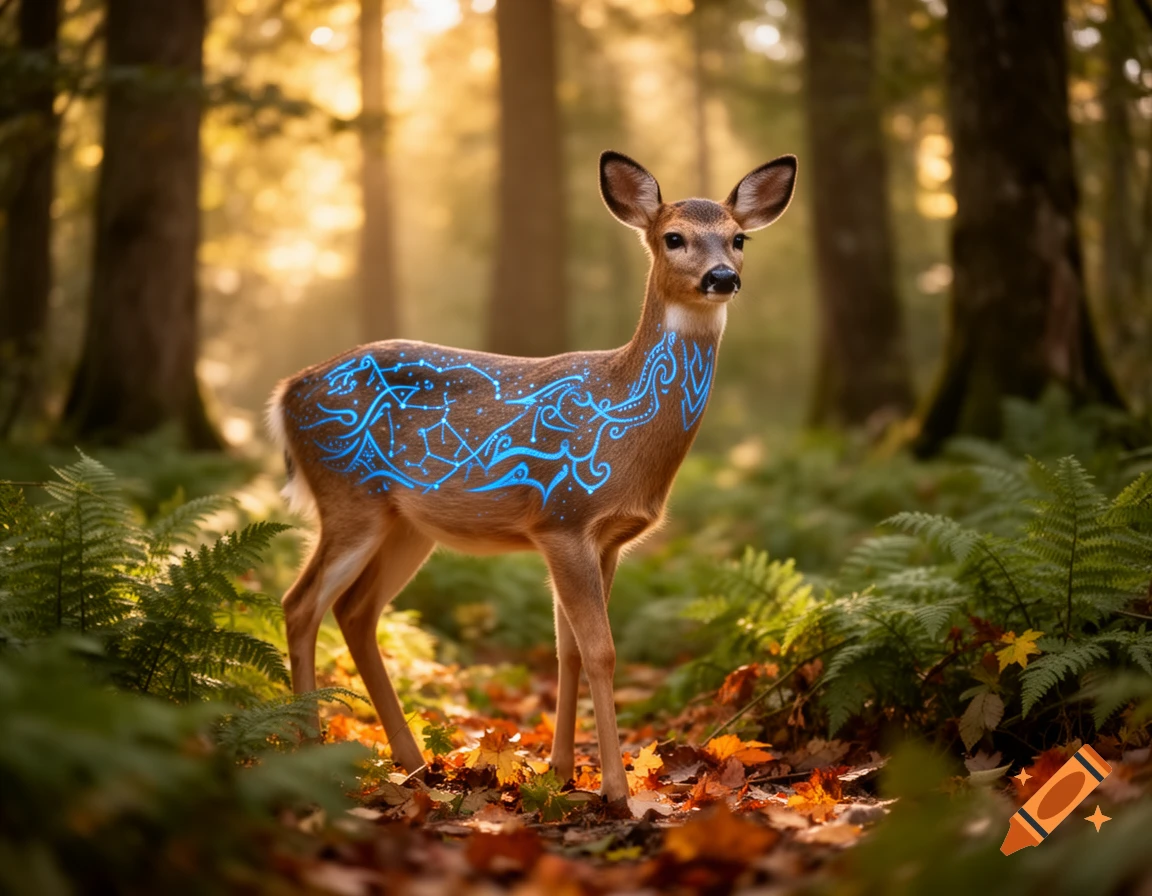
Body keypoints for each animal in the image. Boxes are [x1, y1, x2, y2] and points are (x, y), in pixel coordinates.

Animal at [267, 150, 797, 806]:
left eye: (738, 238)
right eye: (674, 238)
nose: (723, 277)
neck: (622, 417)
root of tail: (284, 393)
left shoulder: (606, 539)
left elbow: (567, 650)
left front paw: (563, 771)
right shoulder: (563, 517)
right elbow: (600, 651)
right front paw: (616, 790)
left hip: (406, 526)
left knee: (355, 611)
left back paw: (413, 763)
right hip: (347, 496)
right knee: (300, 604)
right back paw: (311, 755)